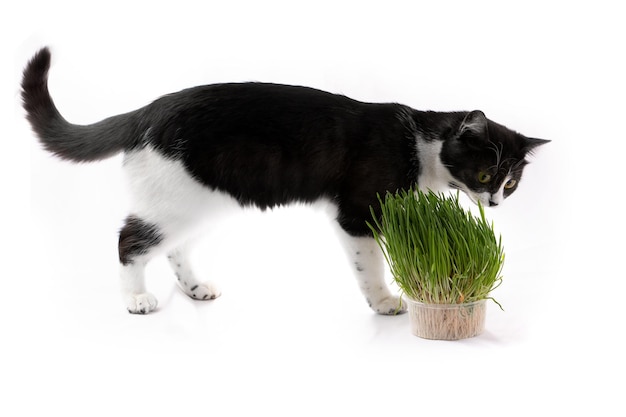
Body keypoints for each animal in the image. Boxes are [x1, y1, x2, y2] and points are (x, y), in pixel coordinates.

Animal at [22, 47, 544, 314]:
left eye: (510, 184)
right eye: (485, 174)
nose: (496, 203)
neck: (420, 142)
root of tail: (145, 112)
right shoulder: (356, 212)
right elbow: (370, 264)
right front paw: (382, 301)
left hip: (201, 201)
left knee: (174, 246)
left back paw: (195, 289)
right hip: (174, 200)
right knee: (130, 239)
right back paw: (136, 298)